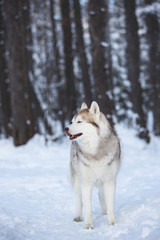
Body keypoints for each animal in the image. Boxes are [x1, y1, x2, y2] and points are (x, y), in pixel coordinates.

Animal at [64, 101, 120, 229]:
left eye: (79, 122)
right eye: (72, 121)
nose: (65, 128)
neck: (95, 152)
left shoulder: (109, 181)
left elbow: (111, 206)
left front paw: (112, 224)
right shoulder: (86, 183)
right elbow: (88, 207)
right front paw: (88, 226)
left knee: (100, 195)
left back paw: (104, 212)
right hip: (76, 181)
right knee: (79, 200)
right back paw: (78, 217)